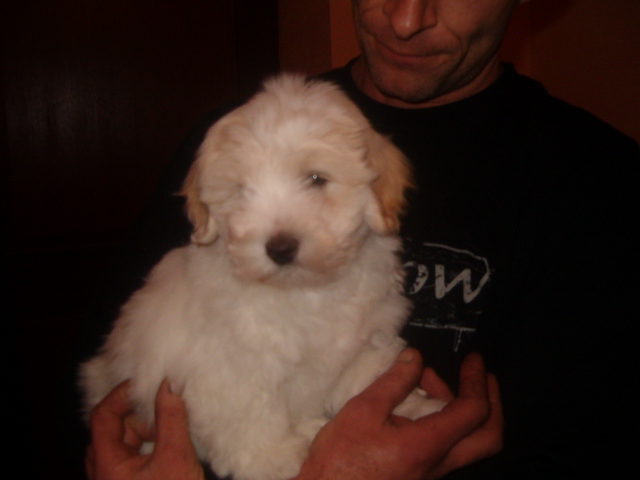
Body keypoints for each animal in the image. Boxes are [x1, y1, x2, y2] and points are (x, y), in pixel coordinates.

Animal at [79, 74, 444, 480]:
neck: (305, 290)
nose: (280, 248)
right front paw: (275, 457)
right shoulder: (229, 367)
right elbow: (248, 412)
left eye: (316, 179)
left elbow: (367, 373)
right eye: (241, 191)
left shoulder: (367, 336)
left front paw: (410, 407)